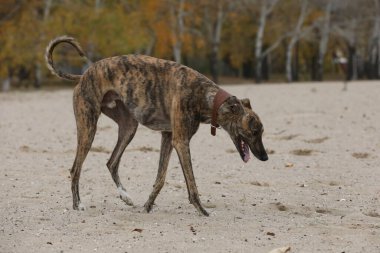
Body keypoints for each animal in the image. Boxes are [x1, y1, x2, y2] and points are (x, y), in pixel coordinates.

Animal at [46, 35, 268, 216]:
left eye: (261, 131)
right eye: (255, 131)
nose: (265, 157)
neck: (205, 96)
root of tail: (83, 75)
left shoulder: (168, 137)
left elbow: (160, 178)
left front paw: (147, 206)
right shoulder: (181, 141)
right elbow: (192, 182)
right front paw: (202, 210)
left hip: (128, 127)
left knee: (111, 162)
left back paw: (125, 196)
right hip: (88, 127)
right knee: (75, 168)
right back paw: (78, 204)